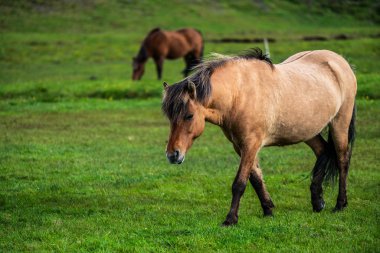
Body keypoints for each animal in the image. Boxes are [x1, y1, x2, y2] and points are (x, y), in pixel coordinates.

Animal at [160, 48, 356, 226]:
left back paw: (340, 204)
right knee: (323, 151)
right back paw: (317, 202)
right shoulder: (240, 146)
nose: (172, 155)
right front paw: (268, 209)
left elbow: (240, 183)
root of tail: (339, 61)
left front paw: (231, 219)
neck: (239, 94)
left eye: (189, 116)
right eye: (169, 117)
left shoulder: (251, 144)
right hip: (307, 129)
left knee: (342, 160)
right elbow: (255, 179)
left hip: (339, 123)